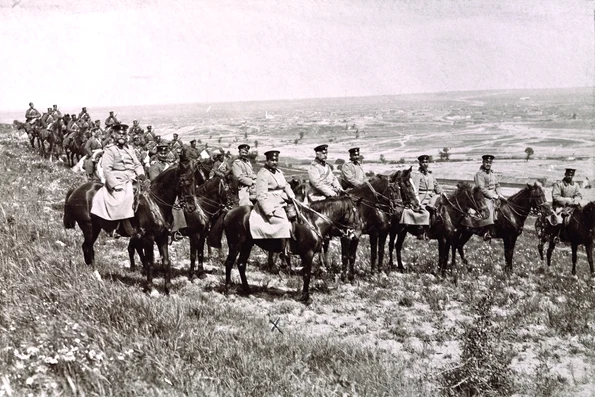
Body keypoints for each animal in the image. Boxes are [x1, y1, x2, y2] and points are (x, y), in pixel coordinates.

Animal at [64, 161, 197, 294]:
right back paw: (96, 274)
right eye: (182, 182)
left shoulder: (162, 237)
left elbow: (166, 262)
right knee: (88, 248)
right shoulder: (148, 238)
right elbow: (150, 262)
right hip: (90, 228)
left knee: (87, 247)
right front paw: (150, 287)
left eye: (194, 181)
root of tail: (76, 190)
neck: (155, 204)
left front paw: (167, 288)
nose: (192, 207)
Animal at [217, 193, 360, 302]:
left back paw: (247, 290)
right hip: (235, 245)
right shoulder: (307, 254)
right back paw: (228, 289)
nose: (354, 235)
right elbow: (307, 275)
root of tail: (229, 212)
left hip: (247, 245)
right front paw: (305, 297)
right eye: (356, 214)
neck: (313, 222)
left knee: (241, 264)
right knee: (229, 263)